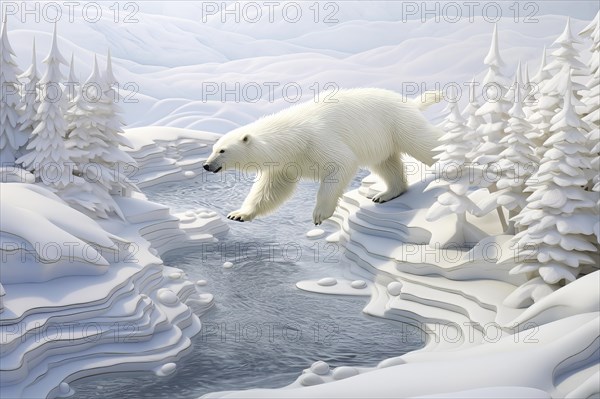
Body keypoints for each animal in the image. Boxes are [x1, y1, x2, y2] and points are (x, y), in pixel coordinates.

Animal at [204, 88, 442, 225]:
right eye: (213, 148)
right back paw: (384, 194)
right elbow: (271, 190)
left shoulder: (317, 141)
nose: (206, 166)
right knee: (385, 164)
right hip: (381, 139)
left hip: (396, 124)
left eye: (222, 150)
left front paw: (319, 215)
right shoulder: (286, 163)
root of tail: (409, 102)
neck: (291, 135)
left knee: (423, 143)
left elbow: (341, 164)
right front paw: (238, 214)